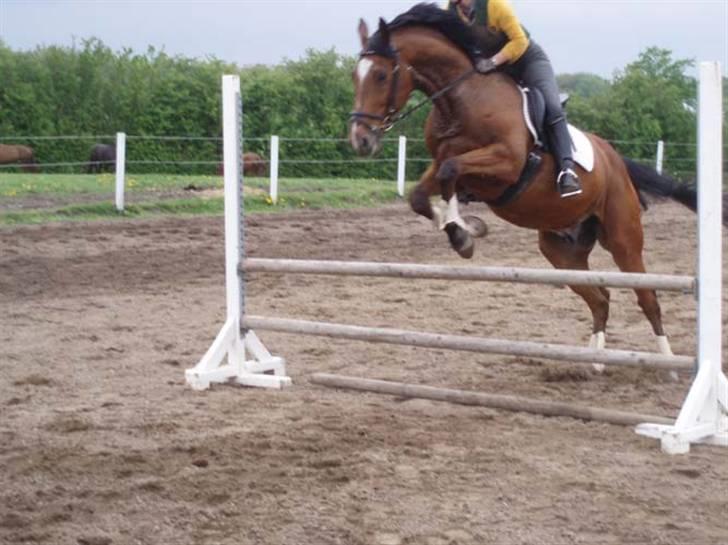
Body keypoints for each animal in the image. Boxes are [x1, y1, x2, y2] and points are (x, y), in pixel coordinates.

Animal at [350, 5, 724, 366]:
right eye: (355, 76)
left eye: (381, 75)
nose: (360, 140)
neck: (460, 100)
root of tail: (615, 159)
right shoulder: (443, 163)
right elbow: (424, 192)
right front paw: (464, 229)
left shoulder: (506, 163)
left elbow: (450, 173)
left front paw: (462, 232)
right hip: (560, 250)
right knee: (600, 298)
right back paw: (595, 361)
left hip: (623, 239)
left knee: (647, 297)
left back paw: (668, 363)